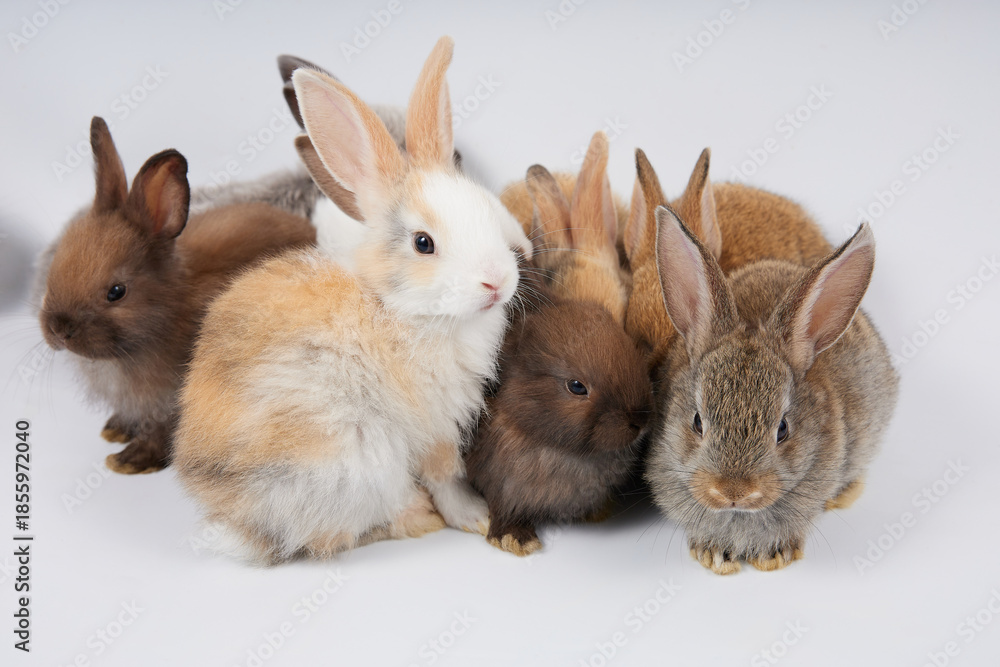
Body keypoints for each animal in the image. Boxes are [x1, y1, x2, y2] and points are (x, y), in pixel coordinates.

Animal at [37, 117, 316, 474]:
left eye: (116, 292)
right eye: (56, 266)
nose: (59, 330)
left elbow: (162, 433)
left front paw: (129, 461)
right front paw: (115, 430)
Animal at [172, 36, 533, 565]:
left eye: (488, 212)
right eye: (423, 243)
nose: (497, 282)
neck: (402, 309)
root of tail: (238, 521)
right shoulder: (434, 424)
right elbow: (445, 474)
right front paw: (475, 516)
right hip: (360, 457)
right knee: (333, 532)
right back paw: (417, 517)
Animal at [466, 292, 653, 556]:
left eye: (630, 348)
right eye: (576, 386)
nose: (640, 421)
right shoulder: (499, 484)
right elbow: (502, 508)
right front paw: (514, 539)